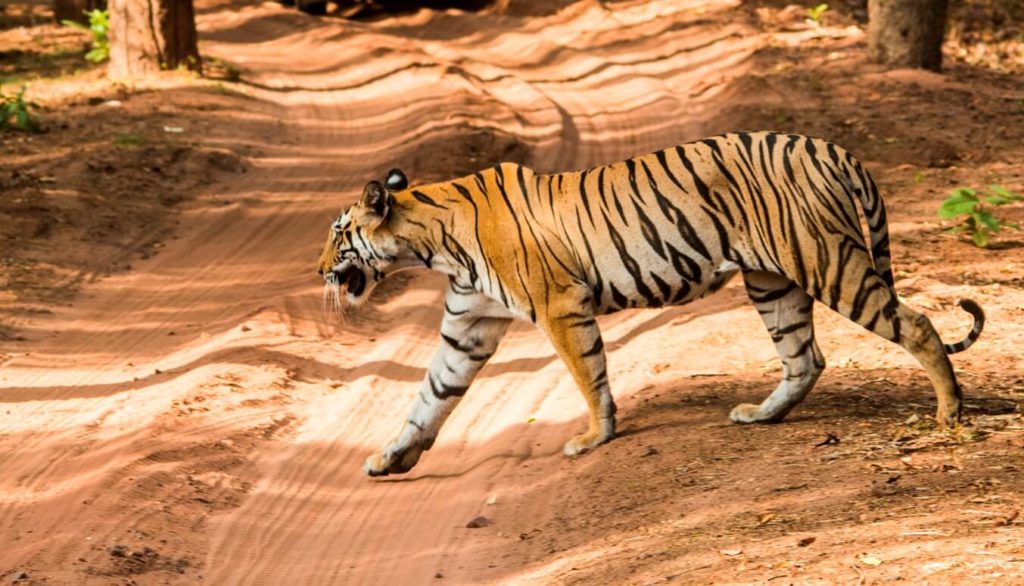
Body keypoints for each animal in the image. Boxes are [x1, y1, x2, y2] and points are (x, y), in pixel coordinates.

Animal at [317, 131, 985, 477]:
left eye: (337, 233)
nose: (319, 270)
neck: (431, 242)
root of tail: (832, 147)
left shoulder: (562, 306)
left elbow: (588, 376)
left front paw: (594, 438)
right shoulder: (468, 324)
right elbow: (430, 396)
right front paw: (391, 457)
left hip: (827, 262)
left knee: (918, 325)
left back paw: (949, 414)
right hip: (772, 281)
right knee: (805, 357)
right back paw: (760, 416)